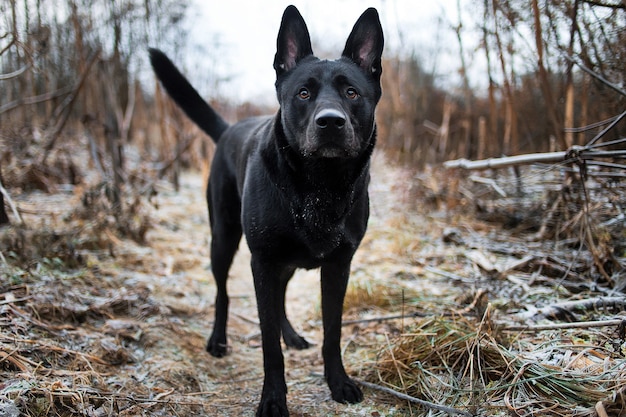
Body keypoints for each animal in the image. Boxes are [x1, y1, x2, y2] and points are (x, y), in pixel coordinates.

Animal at [149, 6, 382, 416]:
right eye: (303, 93)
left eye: (352, 92)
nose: (330, 122)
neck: (319, 186)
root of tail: (229, 128)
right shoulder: (262, 262)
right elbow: (268, 343)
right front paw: (273, 398)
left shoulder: (338, 266)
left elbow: (332, 331)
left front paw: (338, 382)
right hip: (224, 239)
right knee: (223, 292)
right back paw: (218, 340)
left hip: (280, 262)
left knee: (281, 297)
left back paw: (292, 335)